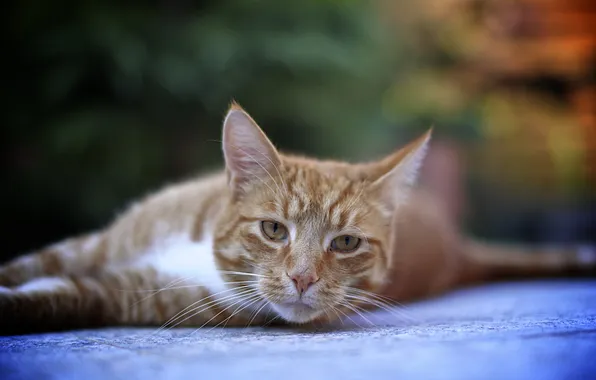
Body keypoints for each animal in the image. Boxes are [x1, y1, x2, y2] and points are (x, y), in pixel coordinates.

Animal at [1, 102, 596, 334]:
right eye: (272, 230)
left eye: (346, 243)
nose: (303, 278)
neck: (198, 245)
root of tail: (459, 247)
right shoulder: (93, 246)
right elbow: (28, 266)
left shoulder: (133, 292)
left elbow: (57, 296)